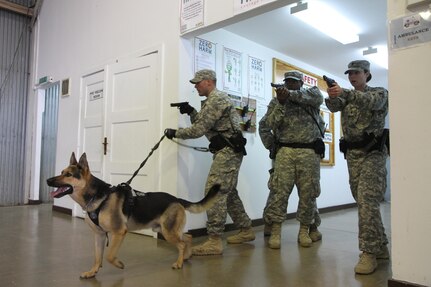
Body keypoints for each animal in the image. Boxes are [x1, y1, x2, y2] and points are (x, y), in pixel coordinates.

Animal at [46, 153, 221, 280]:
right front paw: (92, 272)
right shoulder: (99, 235)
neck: (99, 196)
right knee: (188, 237)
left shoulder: (118, 233)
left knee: (182, 243)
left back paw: (179, 263)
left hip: (167, 232)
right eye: (61, 173)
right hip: (165, 230)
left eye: (68, 174)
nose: (48, 180)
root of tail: (177, 199)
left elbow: (109, 256)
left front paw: (119, 264)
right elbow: (97, 257)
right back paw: (185, 257)